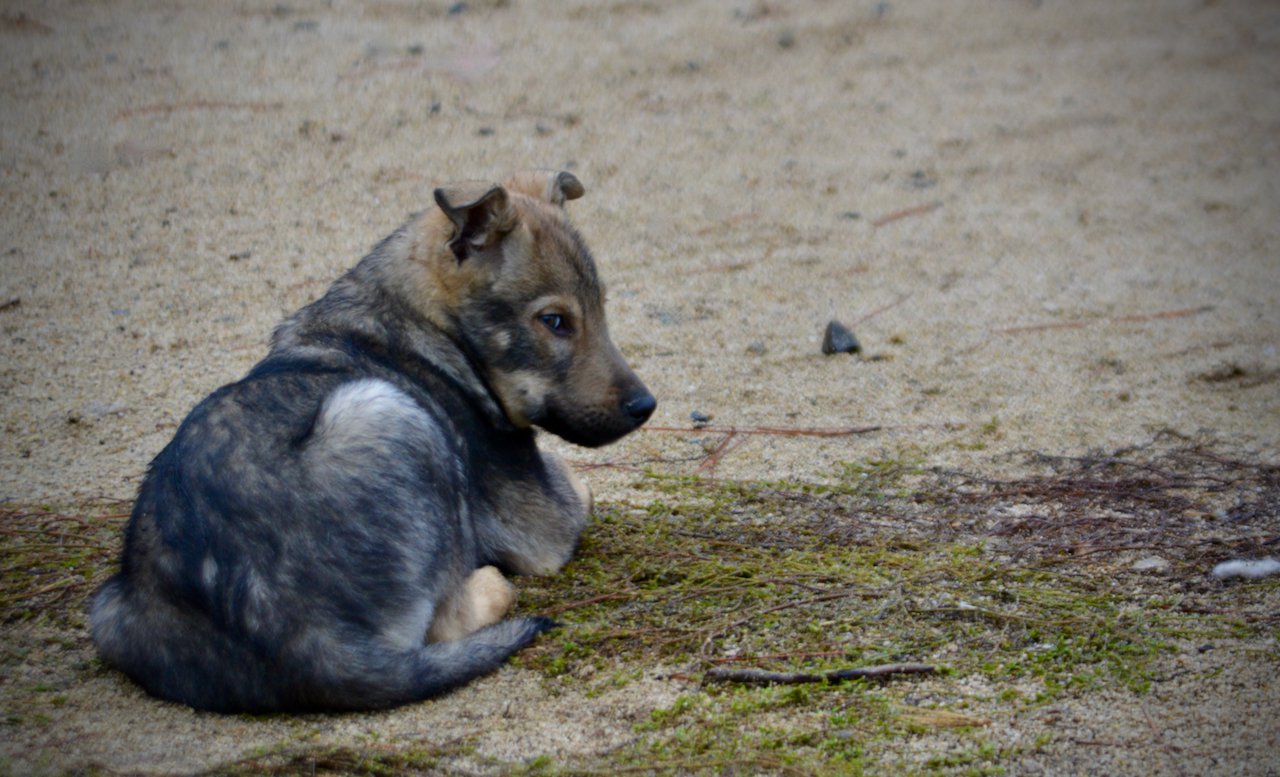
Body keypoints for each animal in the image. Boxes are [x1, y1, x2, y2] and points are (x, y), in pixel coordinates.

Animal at [87, 170, 660, 711]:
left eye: (601, 308)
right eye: (555, 321)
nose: (646, 406)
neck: (419, 321)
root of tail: (308, 647)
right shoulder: (542, 524)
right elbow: (580, 486)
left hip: (106, 611)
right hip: (388, 410)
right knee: (446, 619)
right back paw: (489, 584)